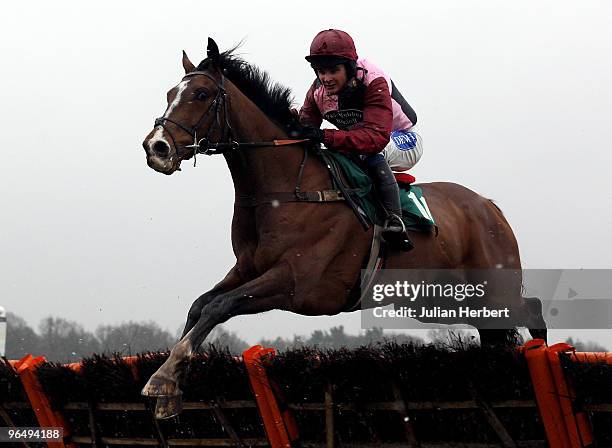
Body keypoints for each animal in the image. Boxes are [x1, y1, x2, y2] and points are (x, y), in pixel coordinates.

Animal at [139, 39, 544, 420]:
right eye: (170, 94)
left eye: (201, 94)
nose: (156, 147)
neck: (289, 187)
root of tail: (489, 206)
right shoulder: (247, 268)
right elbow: (200, 305)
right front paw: (170, 389)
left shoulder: (296, 282)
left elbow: (219, 306)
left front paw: (162, 378)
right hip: (440, 301)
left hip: (493, 292)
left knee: (533, 311)